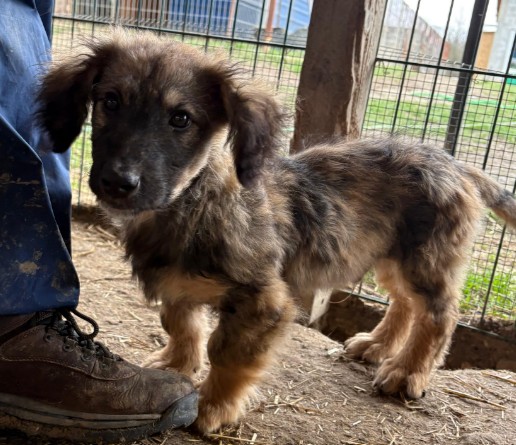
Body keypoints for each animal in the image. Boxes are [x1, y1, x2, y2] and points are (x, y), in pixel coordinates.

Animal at [37, 30, 516, 432]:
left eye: (181, 119)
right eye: (110, 102)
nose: (118, 182)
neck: (192, 202)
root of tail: (457, 163)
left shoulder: (263, 301)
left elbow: (227, 353)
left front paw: (210, 408)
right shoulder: (177, 286)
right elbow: (181, 324)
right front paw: (175, 365)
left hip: (426, 258)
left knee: (438, 314)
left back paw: (406, 371)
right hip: (391, 255)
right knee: (403, 302)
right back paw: (378, 344)